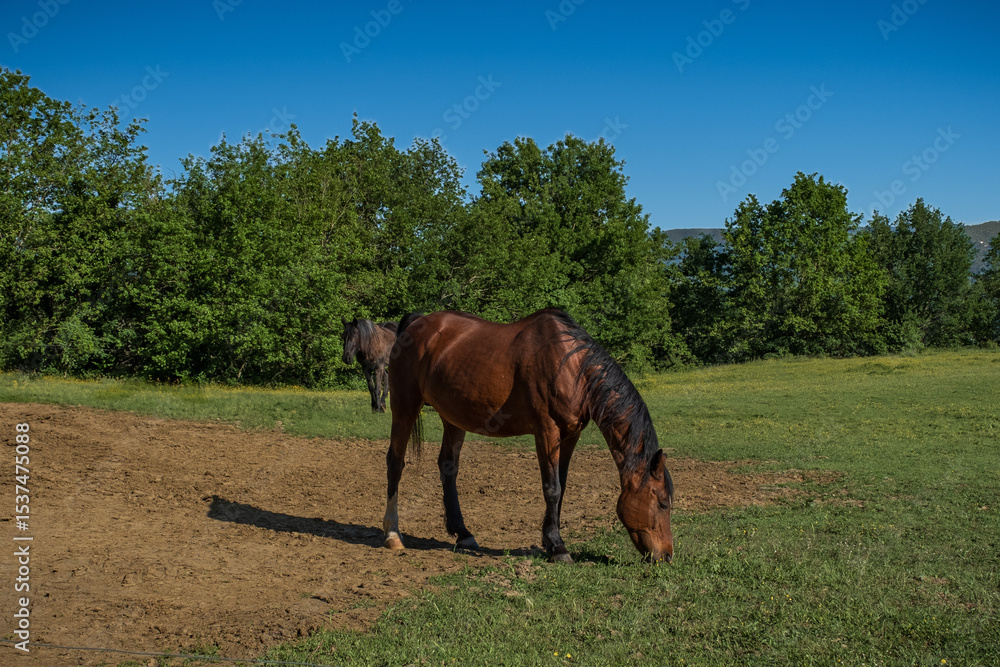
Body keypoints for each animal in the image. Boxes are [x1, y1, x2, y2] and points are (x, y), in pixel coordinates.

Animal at [383, 308, 674, 564]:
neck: (572, 368)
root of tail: (416, 324)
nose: (667, 556)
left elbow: (562, 485)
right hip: (404, 406)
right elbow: (552, 488)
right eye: (662, 503)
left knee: (448, 468)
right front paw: (558, 548)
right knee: (395, 463)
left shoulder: (571, 435)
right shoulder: (546, 431)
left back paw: (463, 534)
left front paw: (550, 541)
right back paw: (392, 534)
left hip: (453, 417)